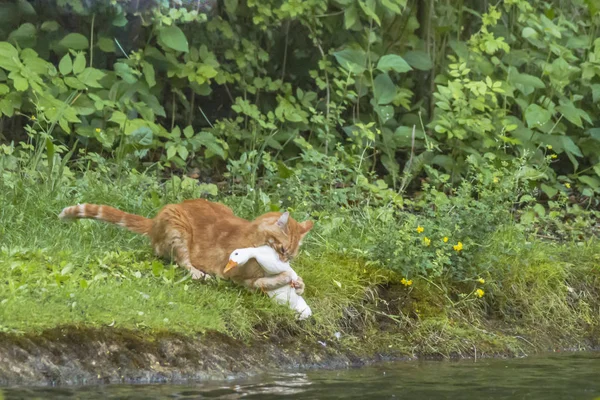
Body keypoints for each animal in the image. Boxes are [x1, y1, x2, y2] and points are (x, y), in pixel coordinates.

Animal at [59, 199, 314, 290]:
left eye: (290, 256)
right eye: (282, 249)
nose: (283, 261)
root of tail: (154, 221)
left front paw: (298, 283)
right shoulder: (238, 278)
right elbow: (266, 281)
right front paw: (287, 278)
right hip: (178, 225)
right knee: (181, 261)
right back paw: (198, 273)